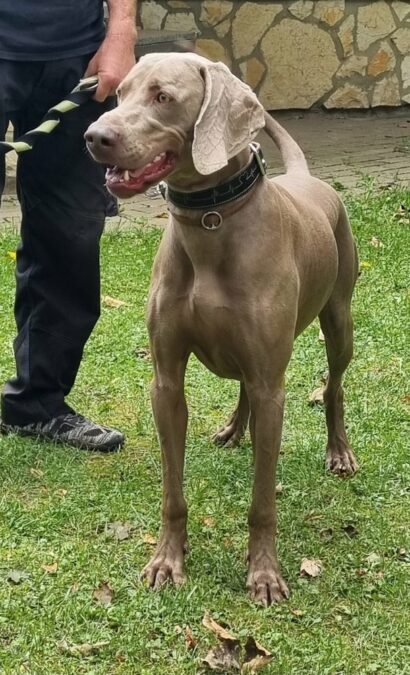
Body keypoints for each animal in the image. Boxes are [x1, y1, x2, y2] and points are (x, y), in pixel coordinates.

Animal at [85, 52, 358, 608]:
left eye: (163, 97)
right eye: (119, 93)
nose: (94, 136)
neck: (210, 220)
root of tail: (308, 178)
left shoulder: (274, 385)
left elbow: (262, 500)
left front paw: (264, 574)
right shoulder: (166, 381)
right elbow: (172, 489)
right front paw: (167, 562)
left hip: (340, 319)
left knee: (334, 384)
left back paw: (337, 450)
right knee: (246, 388)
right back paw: (235, 428)